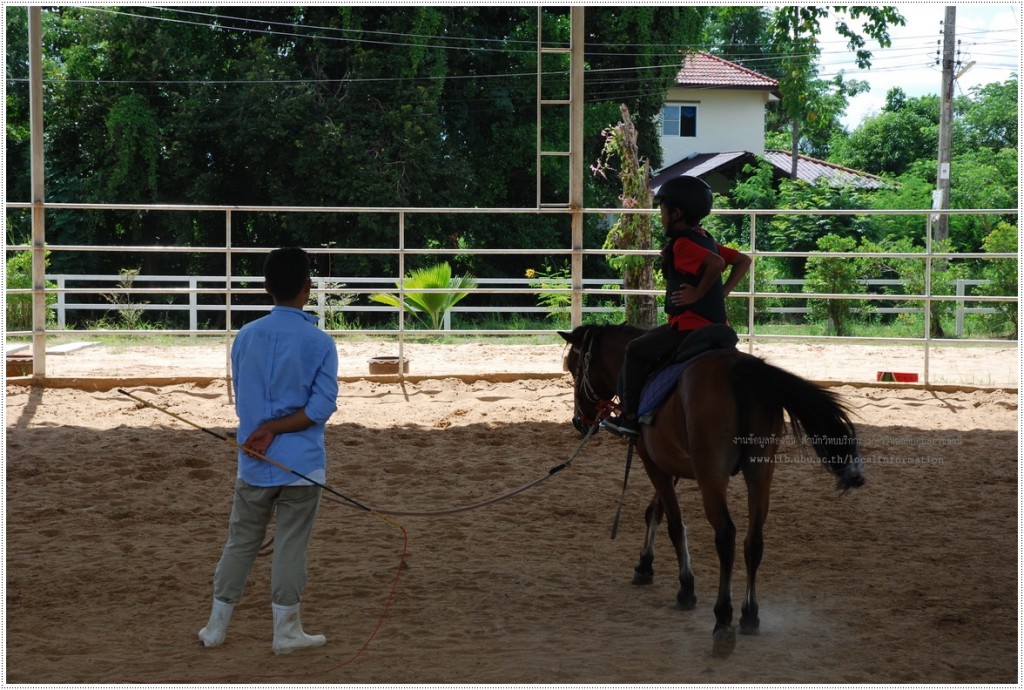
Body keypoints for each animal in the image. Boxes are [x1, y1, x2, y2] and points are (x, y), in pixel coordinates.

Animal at [561, 323, 864, 655]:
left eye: (575, 368)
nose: (579, 421)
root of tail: (741, 370)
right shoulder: (673, 463)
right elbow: (655, 512)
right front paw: (644, 564)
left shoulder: (652, 460)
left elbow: (674, 523)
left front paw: (685, 587)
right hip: (760, 471)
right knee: (753, 540)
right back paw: (749, 615)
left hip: (712, 475)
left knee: (726, 536)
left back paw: (723, 619)